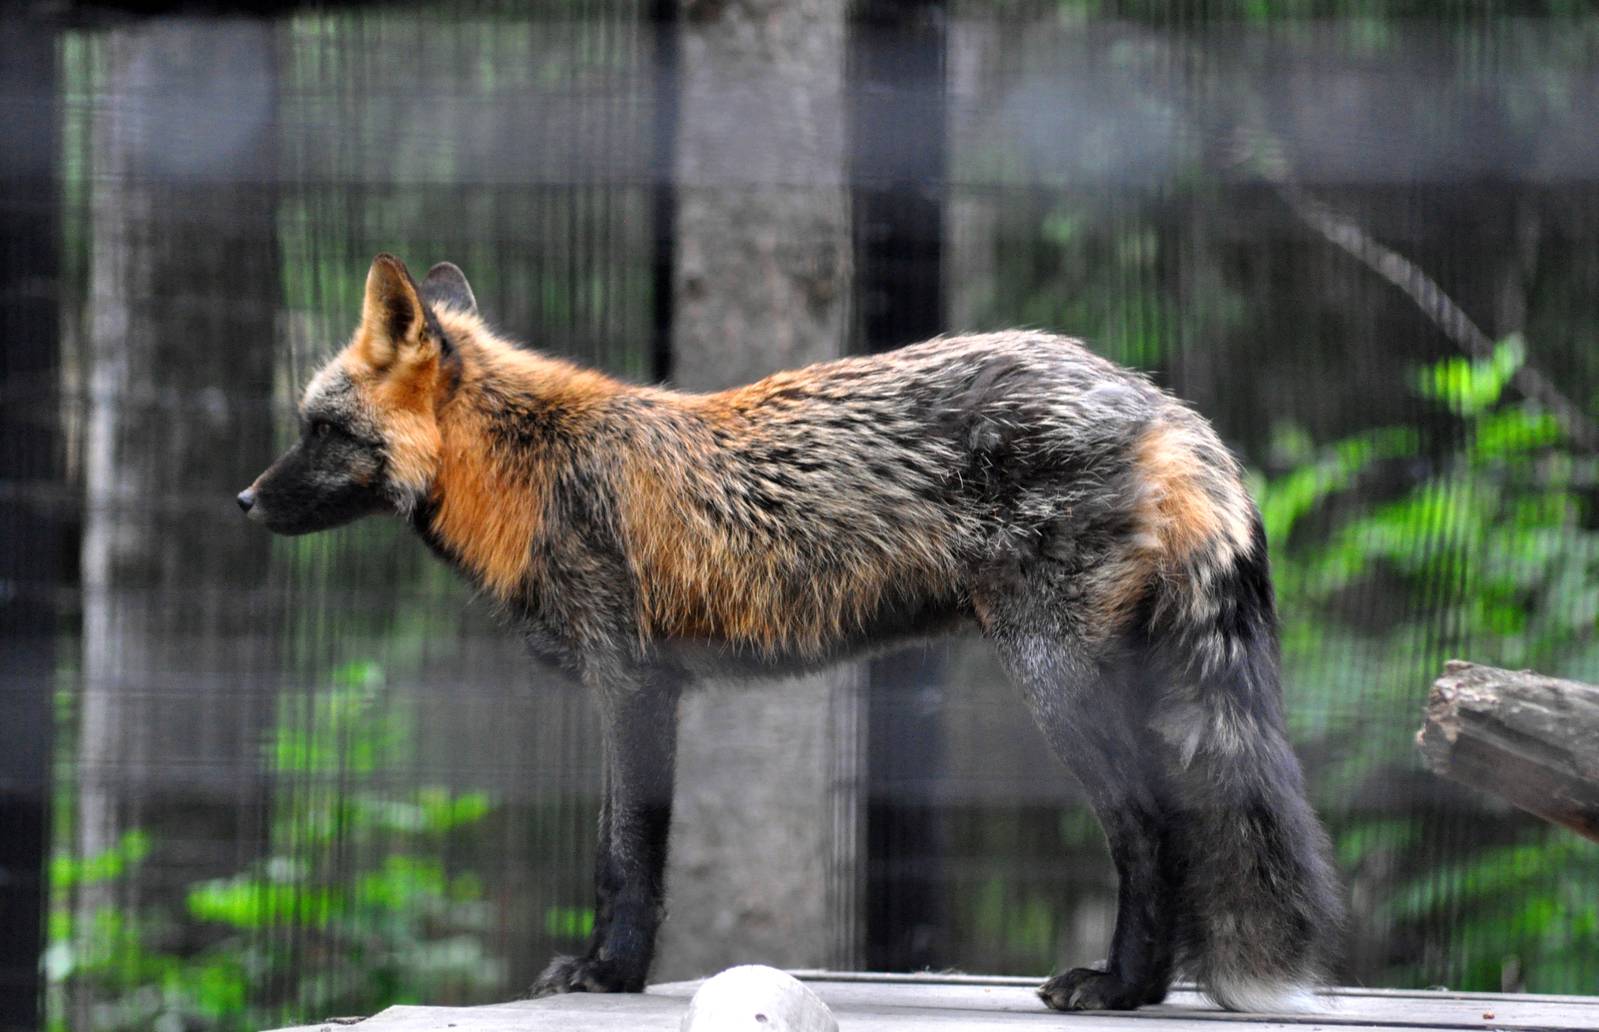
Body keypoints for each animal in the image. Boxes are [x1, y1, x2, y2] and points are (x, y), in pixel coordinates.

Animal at [239, 253, 1343, 1012]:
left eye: (322, 431)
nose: (245, 501)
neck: (535, 469)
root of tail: (1158, 399)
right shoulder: (651, 688)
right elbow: (626, 854)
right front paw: (611, 972)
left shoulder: (631, 683)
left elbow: (622, 858)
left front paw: (608, 974)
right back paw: (1143, 989)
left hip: (1054, 680)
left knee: (1152, 828)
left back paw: (1116, 988)